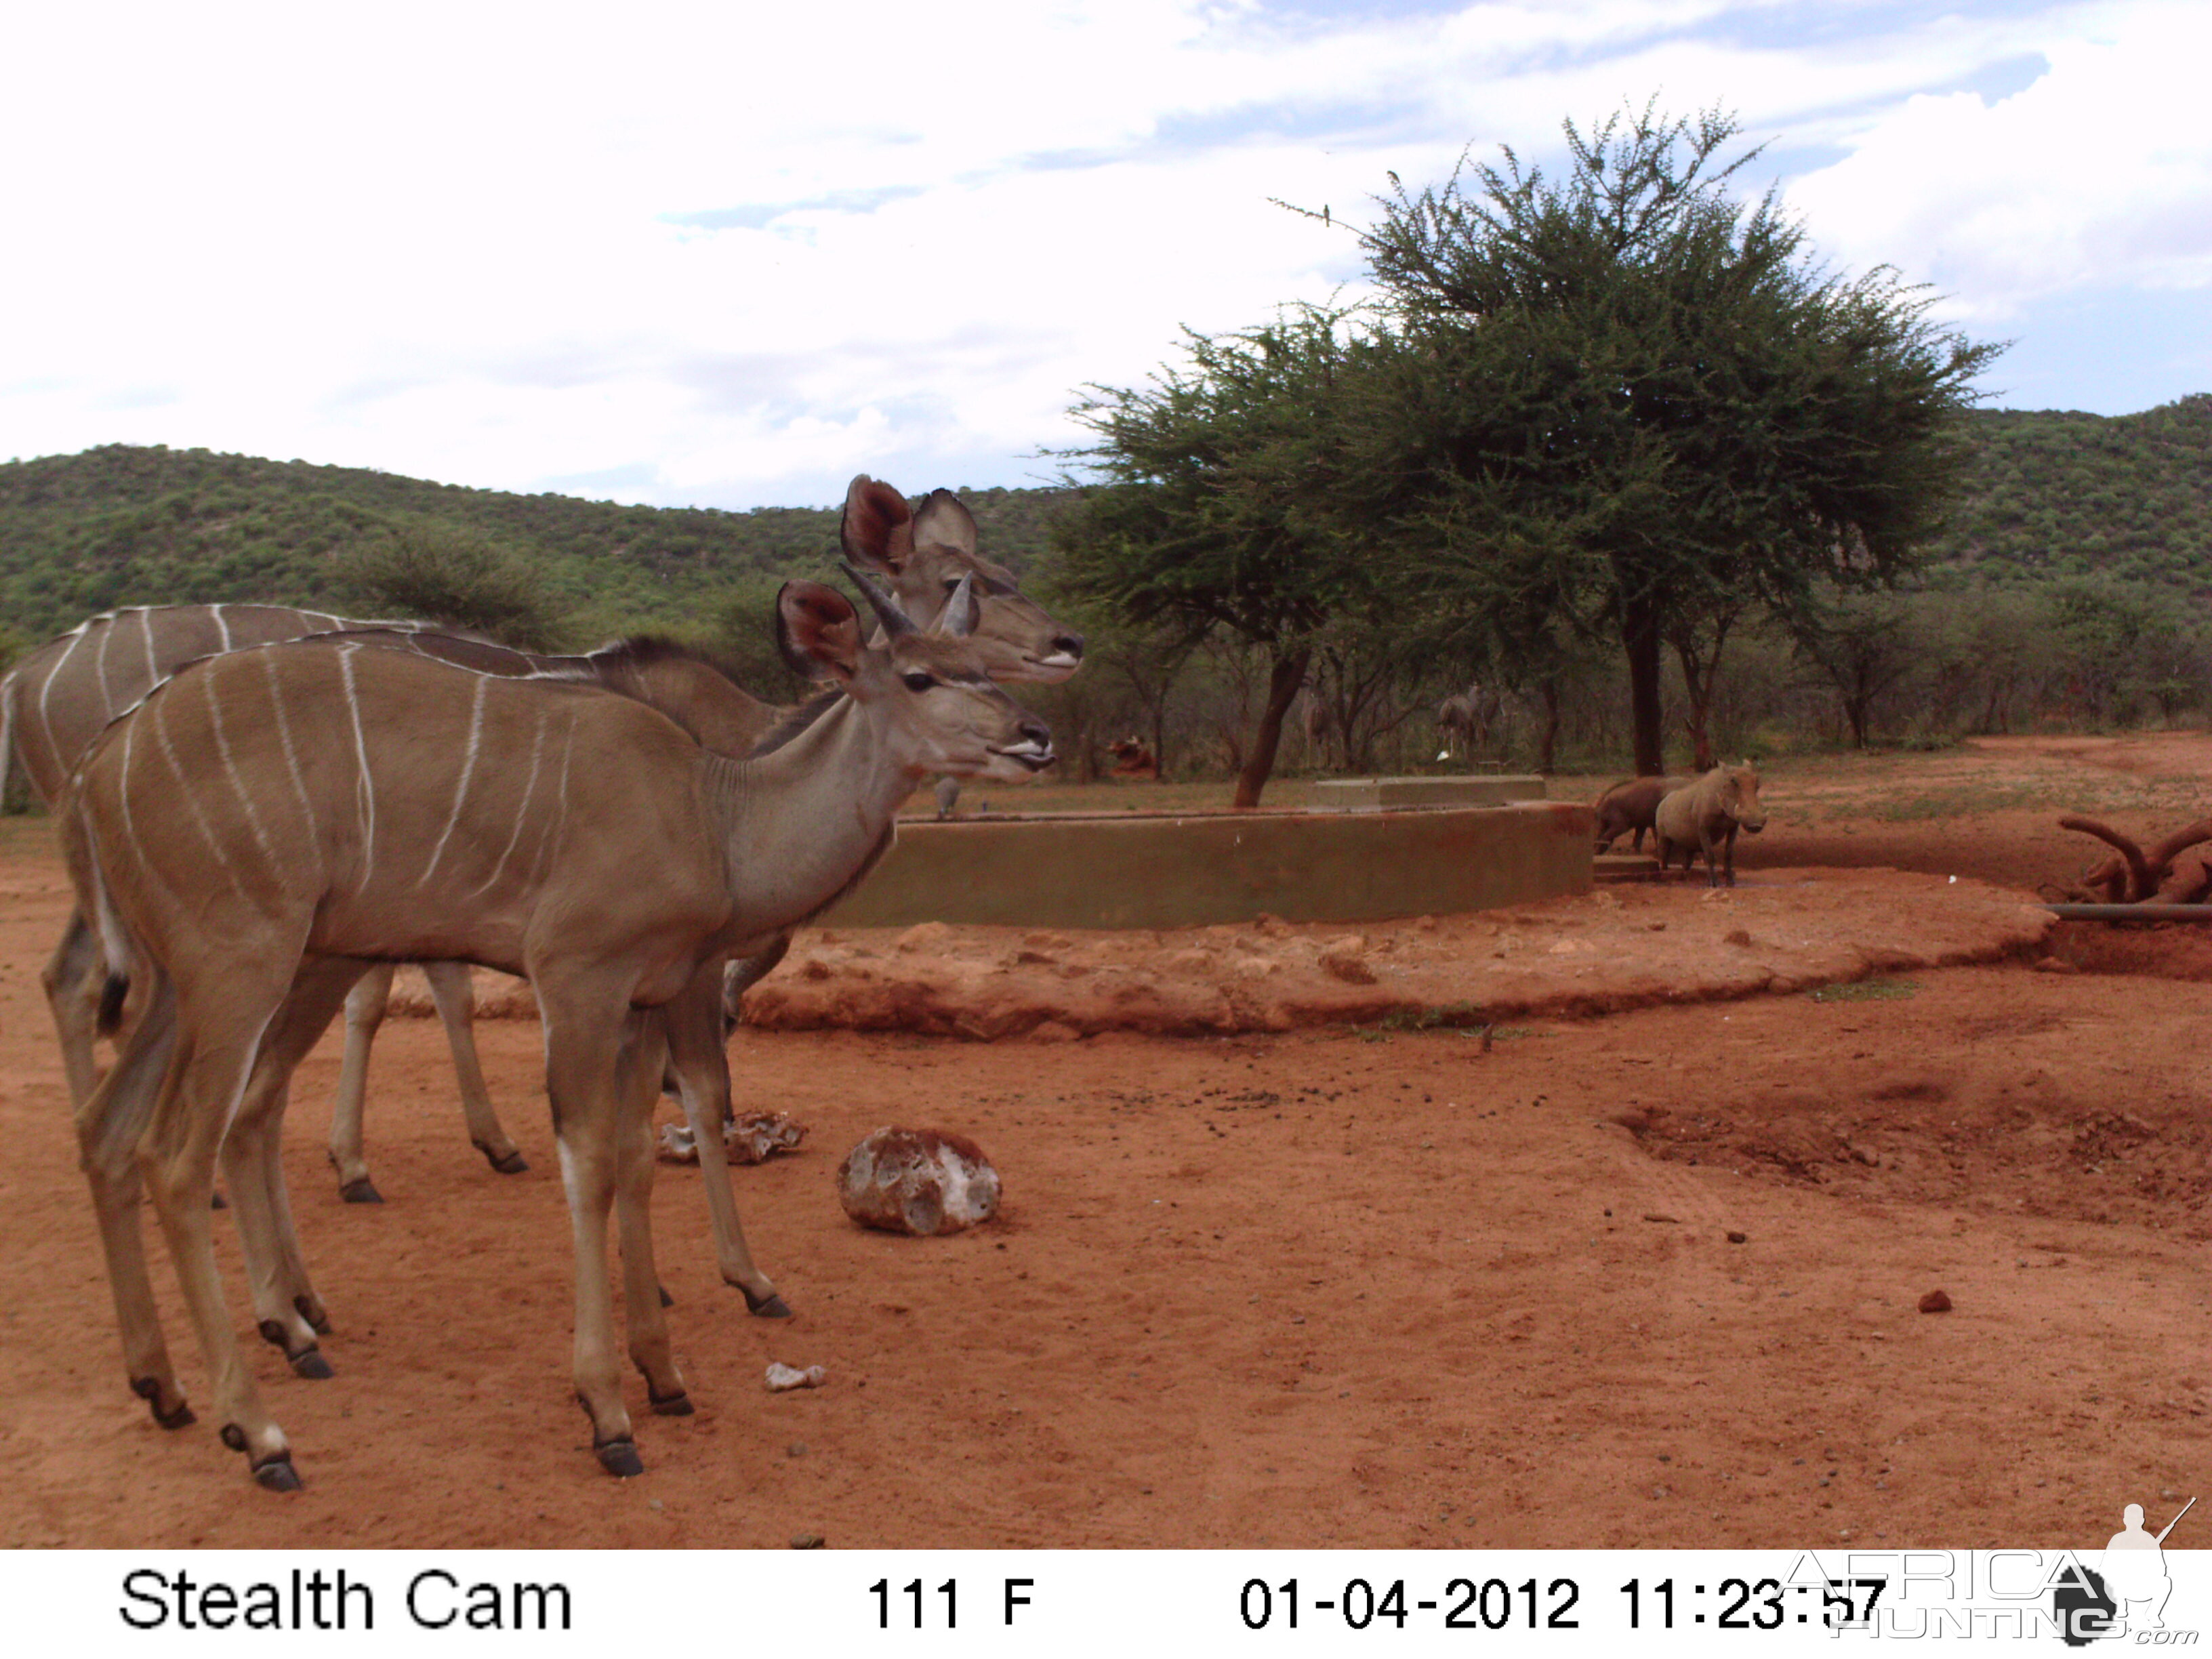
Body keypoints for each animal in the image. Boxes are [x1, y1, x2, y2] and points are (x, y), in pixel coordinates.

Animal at [56, 571, 1048, 1495]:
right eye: (920, 675)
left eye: (985, 665)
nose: (1036, 736)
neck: (714, 810)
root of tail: (98, 762)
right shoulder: (580, 980)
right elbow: (594, 1164)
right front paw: (609, 1408)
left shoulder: (644, 1000)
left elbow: (641, 1159)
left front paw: (665, 1374)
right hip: (244, 965)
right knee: (179, 1155)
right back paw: (262, 1430)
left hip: (186, 988)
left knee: (112, 1131)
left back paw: (171, 1385)